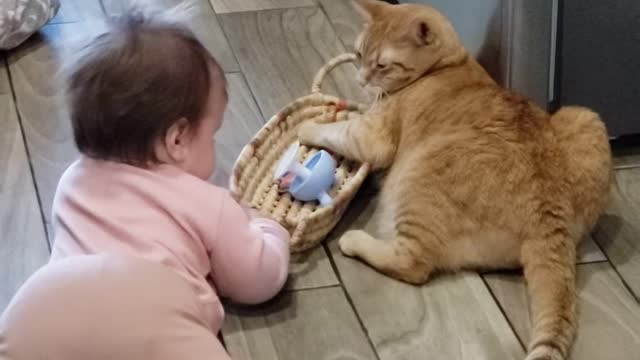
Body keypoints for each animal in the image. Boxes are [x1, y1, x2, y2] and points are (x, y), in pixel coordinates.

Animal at [298, 0, 612, 360]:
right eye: (359, 54)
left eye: (382, 65)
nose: (361, 80)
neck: (448, 66)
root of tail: (550, 209)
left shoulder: (371, 136)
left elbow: (337, 131)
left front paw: (305, 126)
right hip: (585, 117)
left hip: (416, 176)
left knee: (412, 263)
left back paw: (354, 241)